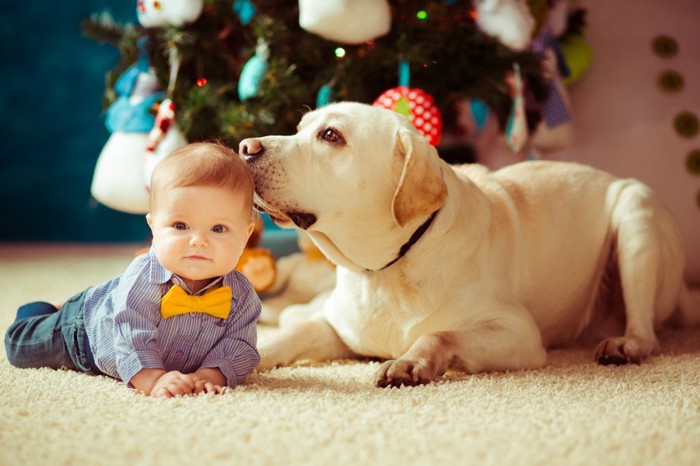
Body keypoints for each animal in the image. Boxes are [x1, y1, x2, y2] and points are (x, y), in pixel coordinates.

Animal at [239, 103, 696, 390]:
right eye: (300, 128)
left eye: (331, 135)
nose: (244, 147)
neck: (388, 269)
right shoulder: (338, 327)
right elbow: (294, 333)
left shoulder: (519, 333)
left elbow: (441, 334)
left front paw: (411, 360)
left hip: (635, 214)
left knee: (647, 333)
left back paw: (625, 344)